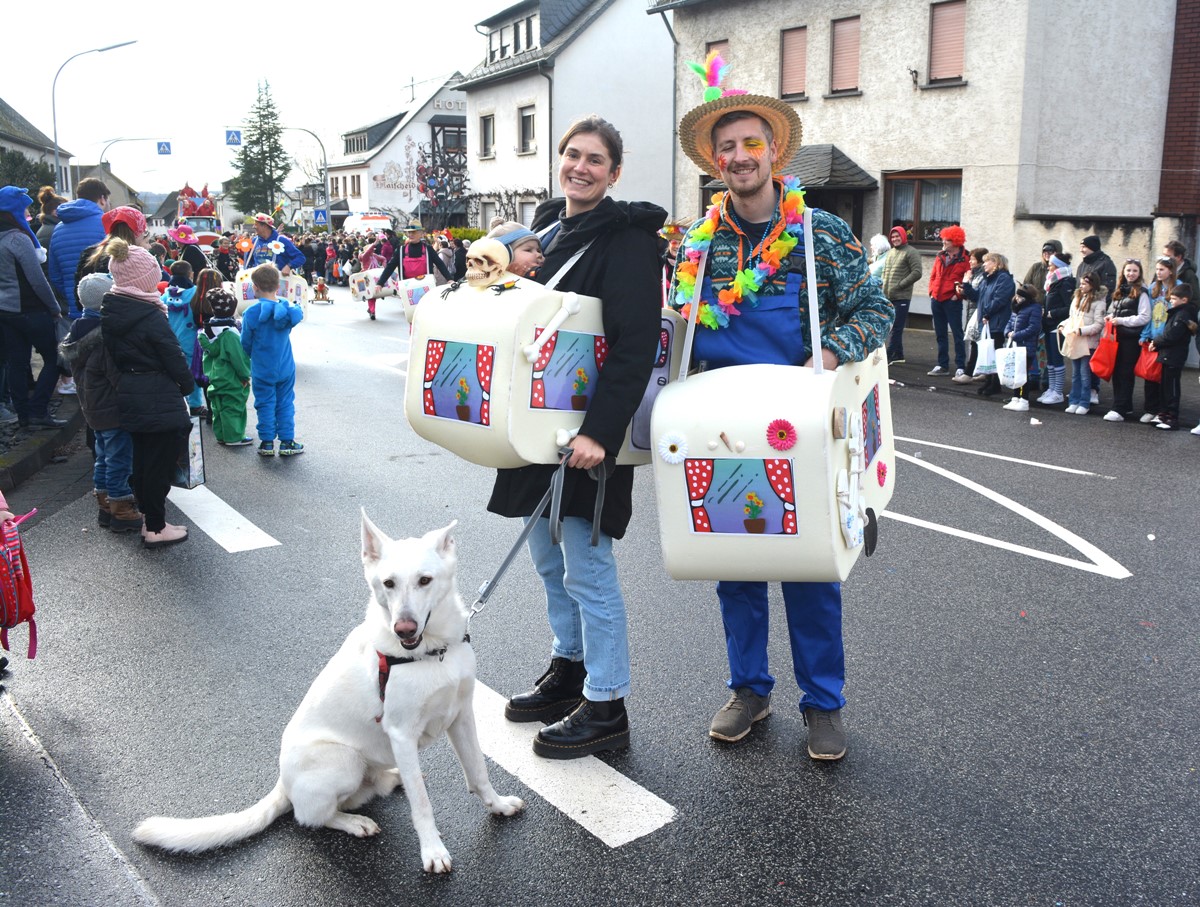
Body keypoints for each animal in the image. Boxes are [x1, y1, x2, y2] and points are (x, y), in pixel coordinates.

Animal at [133, 513, 523, 868]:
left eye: (425, 580)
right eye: (388, 583)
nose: (404, 628)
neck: (433, 652)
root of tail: (282, 783)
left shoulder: (462, 718)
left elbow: (478, 772)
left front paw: (498, 805)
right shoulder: (401, 732)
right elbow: (422, 805)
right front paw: (432, 851)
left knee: (373, 789)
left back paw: (392, 779)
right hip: (344, 760)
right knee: (310, 816)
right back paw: (354, 822)